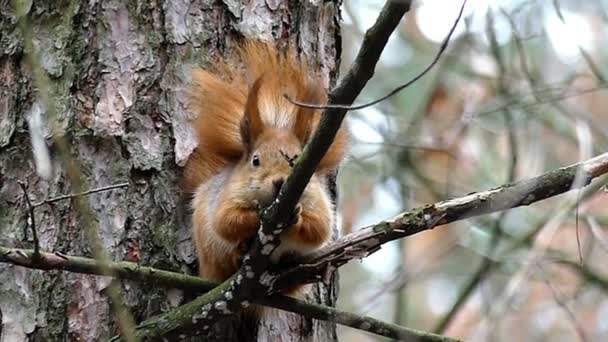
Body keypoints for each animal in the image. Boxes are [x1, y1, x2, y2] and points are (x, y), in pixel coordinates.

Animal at [184, 41, 346, 284]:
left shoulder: (319, 202)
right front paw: (258, 216)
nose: (280, 182)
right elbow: (226, 221)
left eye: (298, 160)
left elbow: (318, 229)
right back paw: (238, 254)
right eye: (255, 160)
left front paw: (296, 217)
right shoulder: (226, 197)